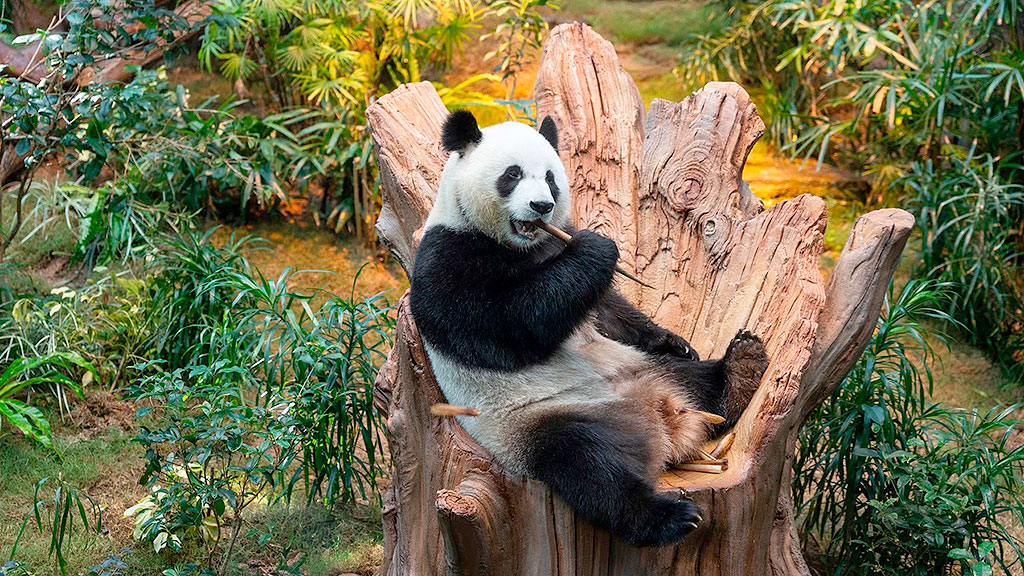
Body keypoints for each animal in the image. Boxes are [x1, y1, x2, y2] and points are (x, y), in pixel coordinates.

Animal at [409, 109, 769, 547]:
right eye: (512, 174)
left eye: (550, 177)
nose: (542, 206)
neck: (521, 245)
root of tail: (660, 424)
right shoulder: (447, 256)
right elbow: (503, 327)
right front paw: (597, 248)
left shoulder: (555, 250)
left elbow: (607, 310)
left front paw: (674, 340)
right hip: (538, 424)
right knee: (591, 469)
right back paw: (668, 517)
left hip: (644, 369)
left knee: (695, 380)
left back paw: (741, 368)